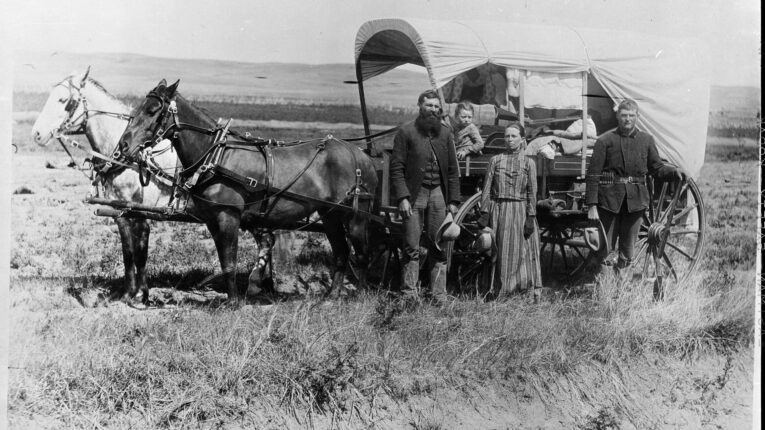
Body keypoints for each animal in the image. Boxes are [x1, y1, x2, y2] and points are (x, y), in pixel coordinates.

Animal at [31, 68, 180, 304]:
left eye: (63, 100)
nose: (36, 133)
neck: (129, 156)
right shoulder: (119, 211)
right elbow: (128, 251)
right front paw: (128, 292)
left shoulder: (141, 213)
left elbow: (141, 251)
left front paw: (143, 294)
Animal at [116, 79, 378, 303]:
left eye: (153, 111)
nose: (124, 145)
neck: (216, 155)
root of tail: (361, 156)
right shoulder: (212, 219)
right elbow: (224, 261)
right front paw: (234, 298)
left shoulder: (228, 216)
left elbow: (229, 262)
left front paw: (234, 302)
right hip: (330, 215)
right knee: (341, 252)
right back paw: (332, 296)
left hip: (357, 216)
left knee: (362, 254)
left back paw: (361, 296)